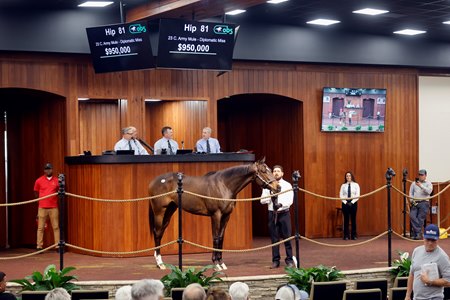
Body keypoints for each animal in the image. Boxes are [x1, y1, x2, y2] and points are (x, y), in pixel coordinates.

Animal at [148, 158, 278, 270]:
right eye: (263, 171)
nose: (278, 187)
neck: (224, 185)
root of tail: (154, 181)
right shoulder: (216, 215)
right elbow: (215, 237)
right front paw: (216, 264)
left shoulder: (226, 216)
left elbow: (221, 237)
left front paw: (221, 262)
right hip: (159, 212)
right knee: (157, 233)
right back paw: (160, 263)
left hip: (170, 210)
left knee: (161, 232)